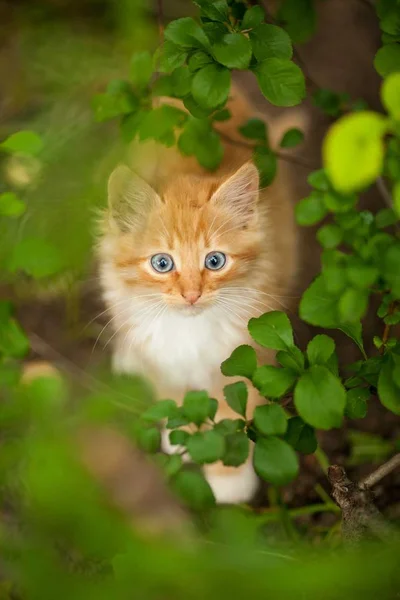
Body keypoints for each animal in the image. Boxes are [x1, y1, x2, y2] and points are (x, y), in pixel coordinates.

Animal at [96, 88, 296, 502]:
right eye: (162, 263)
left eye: (214, 260)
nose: (191, 294)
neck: (188, 327)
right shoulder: (158, 348)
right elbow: (170, 390)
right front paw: (183, 431)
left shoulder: (246, 352)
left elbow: (235, 415)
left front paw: (229, 479)